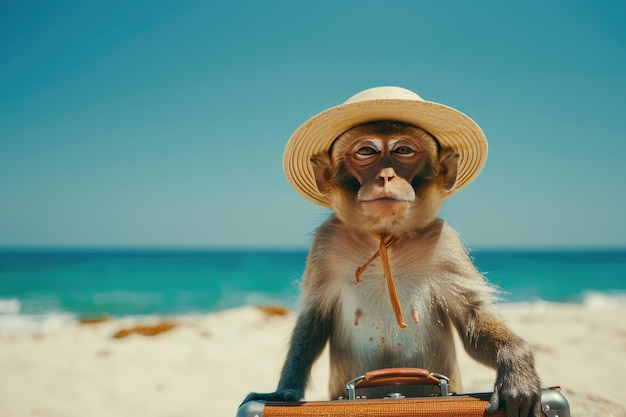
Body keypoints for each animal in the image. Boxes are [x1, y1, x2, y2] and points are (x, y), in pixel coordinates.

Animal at [244, 120, 540, 416]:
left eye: (403, 150)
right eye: (366, 151)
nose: (386, 176)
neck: (385, 235)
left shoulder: (446, 244)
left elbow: (473, 319)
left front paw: (516, 367)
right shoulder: (326, 243)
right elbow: (313, 320)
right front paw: (284, 391)